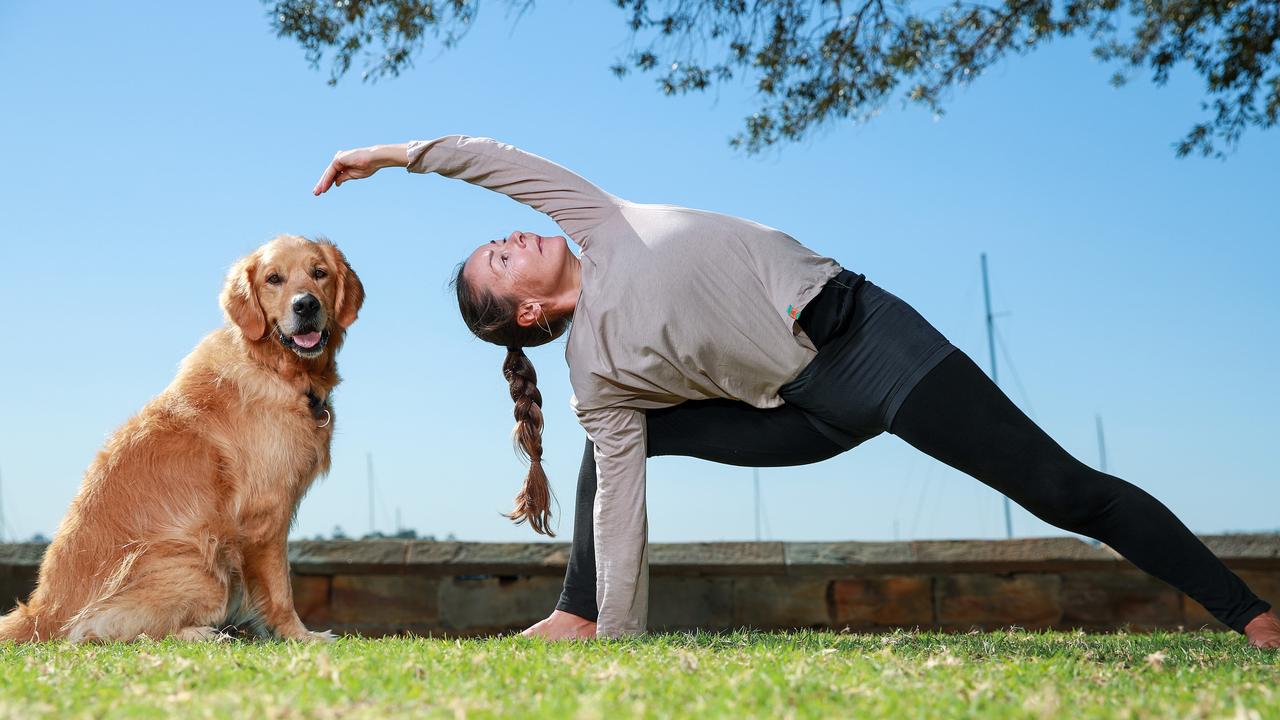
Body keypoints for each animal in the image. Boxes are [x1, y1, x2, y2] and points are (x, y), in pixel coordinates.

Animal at [0, 234, 366, 638]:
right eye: (274, 279)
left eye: (320, 273)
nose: (306, 304)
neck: (274, 368)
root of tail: (42, 610)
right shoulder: (265, 514)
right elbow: (279, 588)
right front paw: (301, 636)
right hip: (203, 564)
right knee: (95, 631)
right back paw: (202, 633)